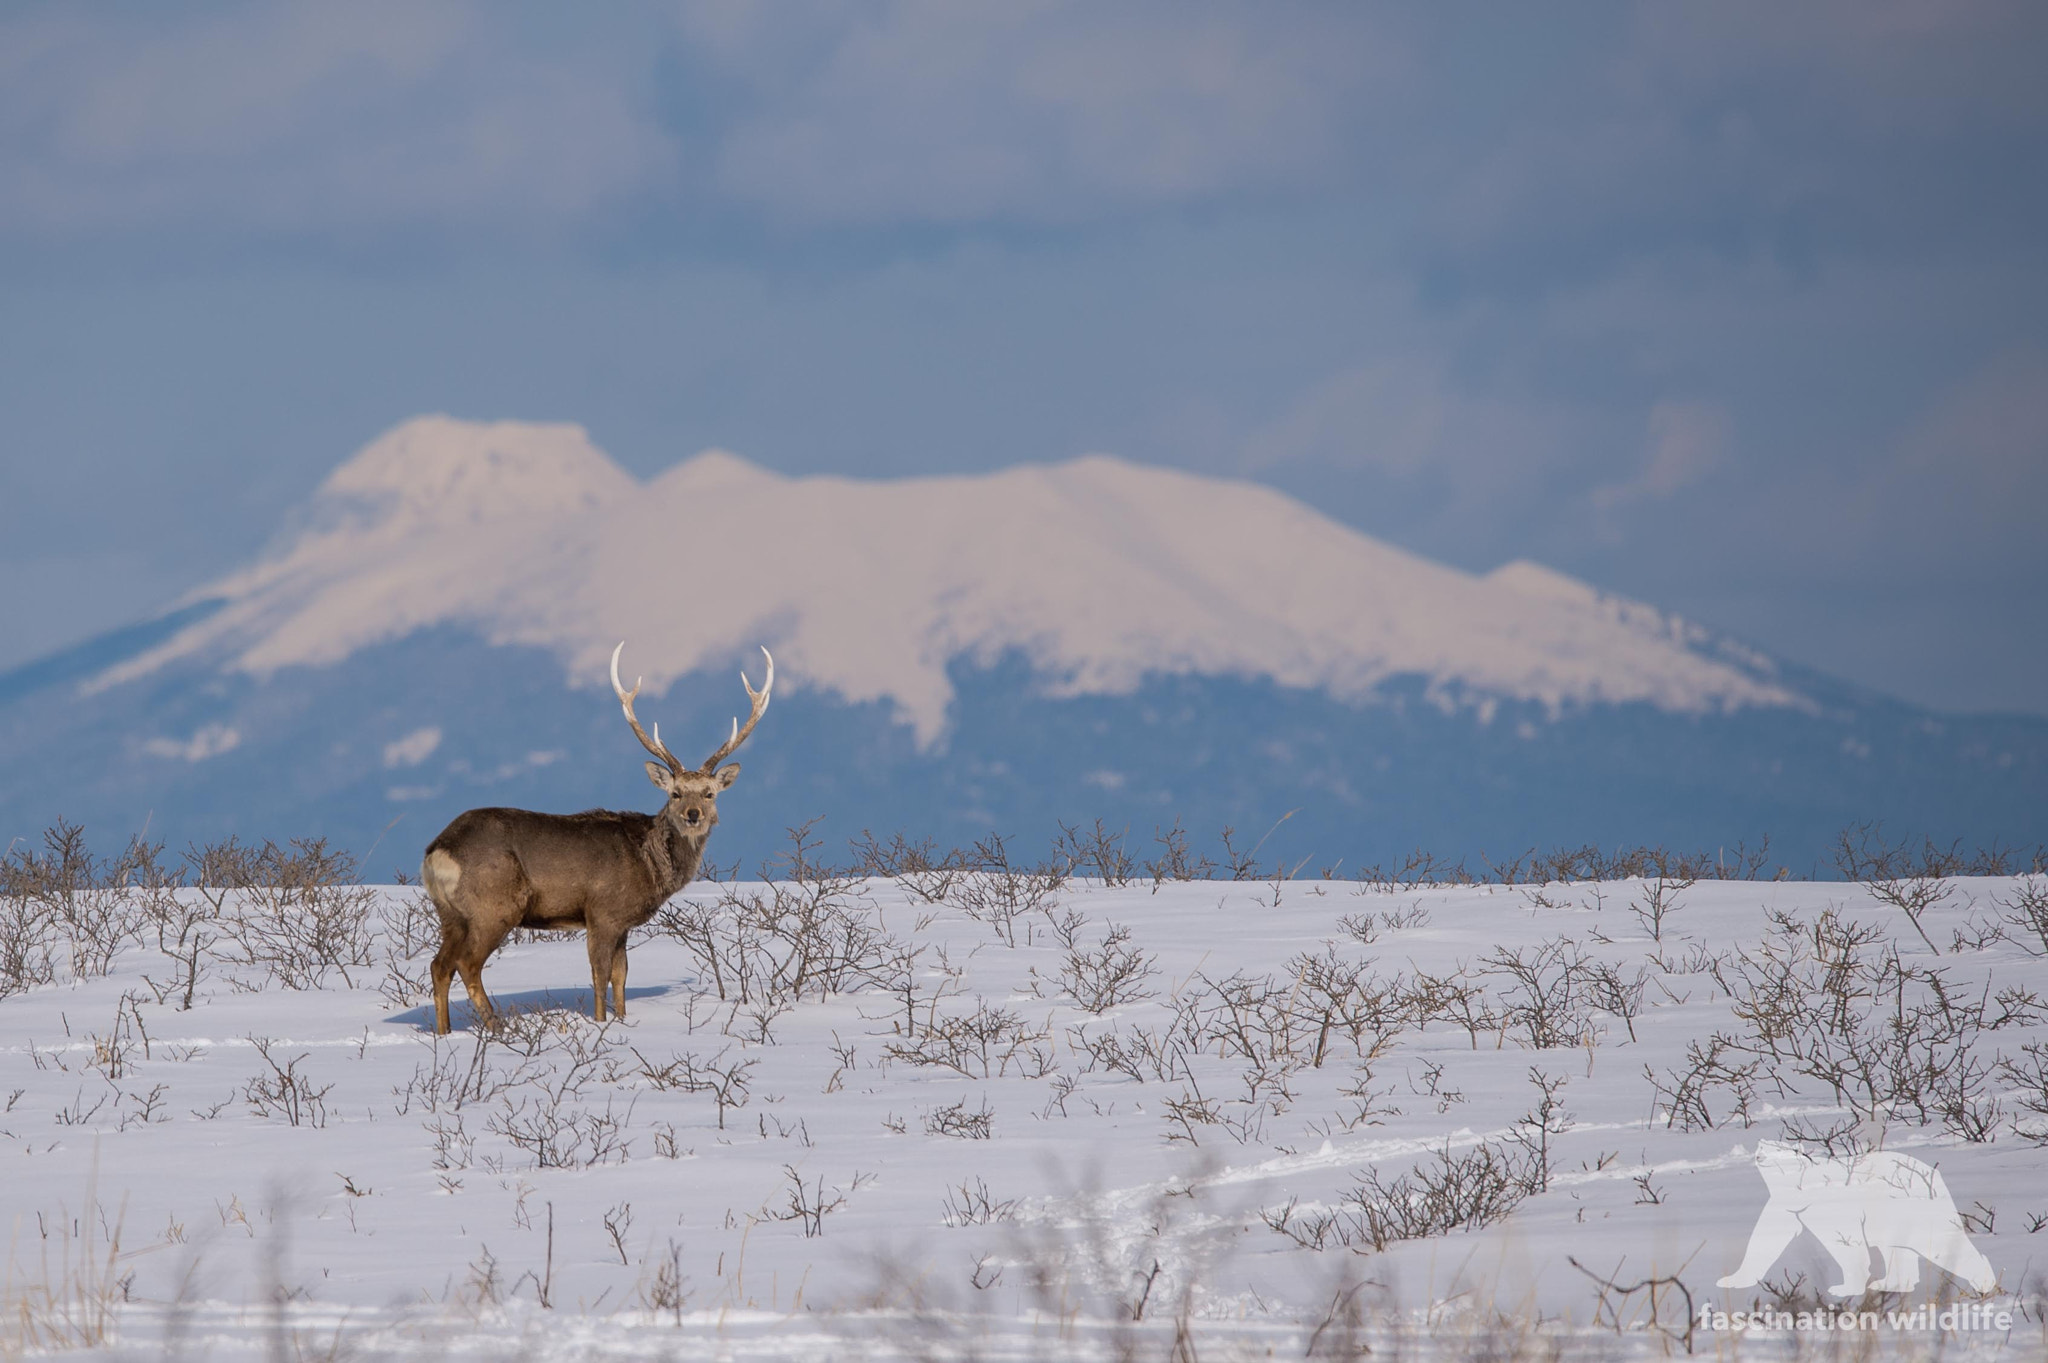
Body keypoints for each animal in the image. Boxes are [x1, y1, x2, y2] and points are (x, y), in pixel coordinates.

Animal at [419, 638, 770, 1031]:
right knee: (467, 964)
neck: (648, 864)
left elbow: (621, 976)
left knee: (439, 965)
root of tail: (438, 851)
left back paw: (445, 1033)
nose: (692, 815)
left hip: (450, 914)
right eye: (675, 793)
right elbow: (600, 976)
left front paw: (622, 1020)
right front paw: (602, 1024)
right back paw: (498, 1029)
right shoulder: (602, 910)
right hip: (492, 907)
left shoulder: (623, 922)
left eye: (709, 793)